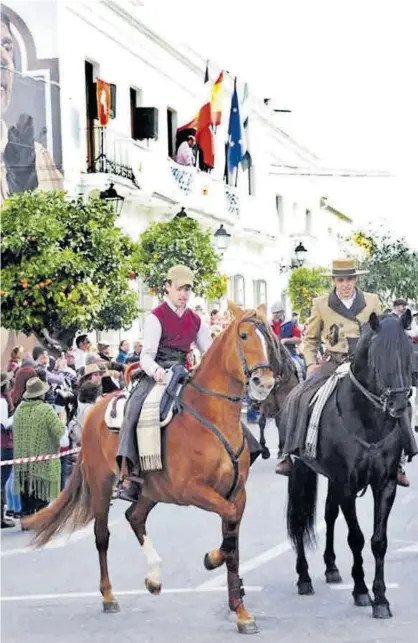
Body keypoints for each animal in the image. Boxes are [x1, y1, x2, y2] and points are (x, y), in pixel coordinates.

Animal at [24, 304, 276, 636]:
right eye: (244, 335)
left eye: (268, 337)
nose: (265, 383)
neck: (211, 417)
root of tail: (93, 412)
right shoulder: (193, 490)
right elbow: (227, 538)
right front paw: (211, 560)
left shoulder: (237, 494)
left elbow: (232, 544)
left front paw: (241, 612)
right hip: (102, 485)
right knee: (102, 534)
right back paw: (108, 596)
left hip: (149, 490)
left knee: (135, 517)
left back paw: (154, 577)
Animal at [282, 312, 416, 620]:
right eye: (377, 357)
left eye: (409, 353)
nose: (398, 405)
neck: (368, 420)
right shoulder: (346, 484)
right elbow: (356, 537)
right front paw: (361, 591)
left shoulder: (385, 483)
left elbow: (378, 541)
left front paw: (381, 599)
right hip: (300, 471)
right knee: (299, 516)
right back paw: (304, 577)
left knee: (329, 515)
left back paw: (331, 567)